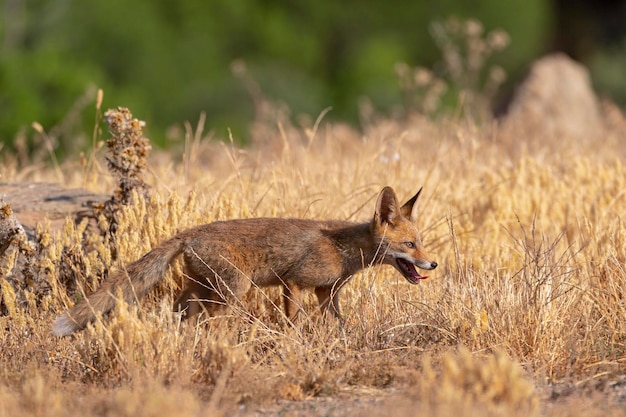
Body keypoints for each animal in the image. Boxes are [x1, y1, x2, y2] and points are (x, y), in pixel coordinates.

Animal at [52, 185, 434, 334]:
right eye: (410, 244)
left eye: (422, 244)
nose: (433, 265)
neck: (342, 249)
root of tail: (190, 232)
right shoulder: (294, 282)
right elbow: (292, 322)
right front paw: (291, 341)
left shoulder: (327, 292)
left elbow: (338, 323)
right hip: (232, 291)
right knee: (208, 322)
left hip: (201, 289)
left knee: (179, 314)